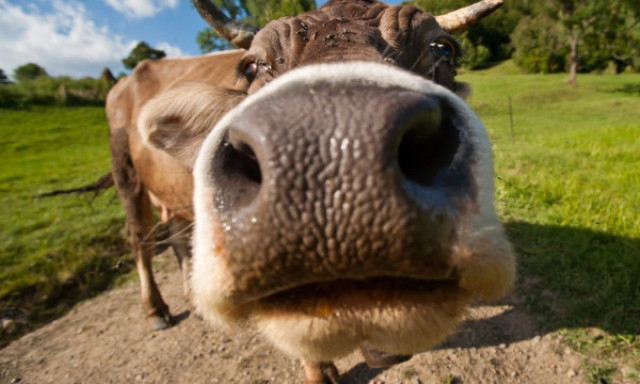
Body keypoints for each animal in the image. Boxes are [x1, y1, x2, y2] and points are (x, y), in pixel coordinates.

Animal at [109, 0, 516, 380]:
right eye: (252, 67)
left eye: (443, 49)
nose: (339, 151)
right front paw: (319, 372)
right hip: (124, 172)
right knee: (140, 237)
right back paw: (156, 310)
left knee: (178, 235)